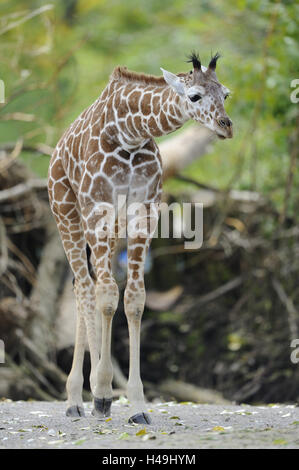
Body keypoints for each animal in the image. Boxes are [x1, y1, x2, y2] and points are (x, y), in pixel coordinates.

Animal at [47, 52, 234, 426]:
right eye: (195, 96)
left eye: (225, 93)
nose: (226, 125)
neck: (130, 134)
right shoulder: (99, 208)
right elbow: (107, 296)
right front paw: (102, 392)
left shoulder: (144, 212)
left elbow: (134, 298)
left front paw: (137, 404)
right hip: (68, 214)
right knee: (86, 286)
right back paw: (79, 397)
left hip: (109, 228)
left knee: (82, 284)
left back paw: (79, 398)